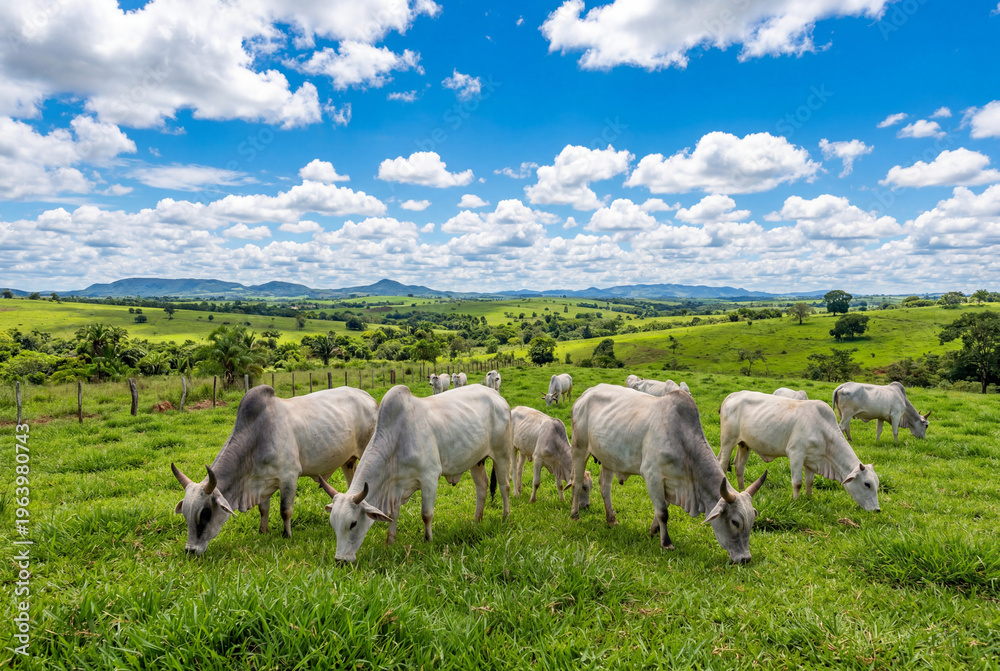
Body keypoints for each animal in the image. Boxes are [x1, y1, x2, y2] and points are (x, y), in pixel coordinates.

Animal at [171, 386, 377, 555]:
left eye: (205, 513)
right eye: (186, 514)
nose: (190, 550)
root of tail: (368, 397)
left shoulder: (289, 477)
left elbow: (285, 510)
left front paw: (287, 535)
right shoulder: (262, 482)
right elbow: (263, 509)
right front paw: (264, 531)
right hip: (348, 461)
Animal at [318, 384, 513, 562]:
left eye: (353, 523)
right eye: (333, 523)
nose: (340, 560)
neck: (397, 439)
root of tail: (496, 395)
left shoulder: (429, 478)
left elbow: (426, 514)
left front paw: (428, 540)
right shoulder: (396, 487)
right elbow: (393, 515)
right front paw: (390, 542)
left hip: (502, 454)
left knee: (505, 486)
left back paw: (505, 517)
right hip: (476, 461)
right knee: (482, 487)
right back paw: (476, 520)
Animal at [569, 384, 767, 564]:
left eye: (752, 522)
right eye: (735, 522)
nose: (745, 559)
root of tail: (585, 394)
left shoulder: (672, 483)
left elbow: (663, 509)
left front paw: (653, 530)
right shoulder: (652, 476)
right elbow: (663, 512)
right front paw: (666, 542)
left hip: (608, 458)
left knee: (605, 487)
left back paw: (611, 519)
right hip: (579, 448)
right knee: (577, 483)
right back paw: (575, 515)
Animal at [718, 390, 880, 511]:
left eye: (877, 484)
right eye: (867, 484)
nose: (877, 510)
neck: (823, 430)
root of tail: (732, 395)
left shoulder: (812, 460)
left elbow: (809, 482)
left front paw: (809, 498)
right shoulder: (796, 454)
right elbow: (797, 483)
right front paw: (795, 501)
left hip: (744, 444)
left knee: (739, 466)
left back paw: (742, 490)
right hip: (727, 441)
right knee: (722, 464)